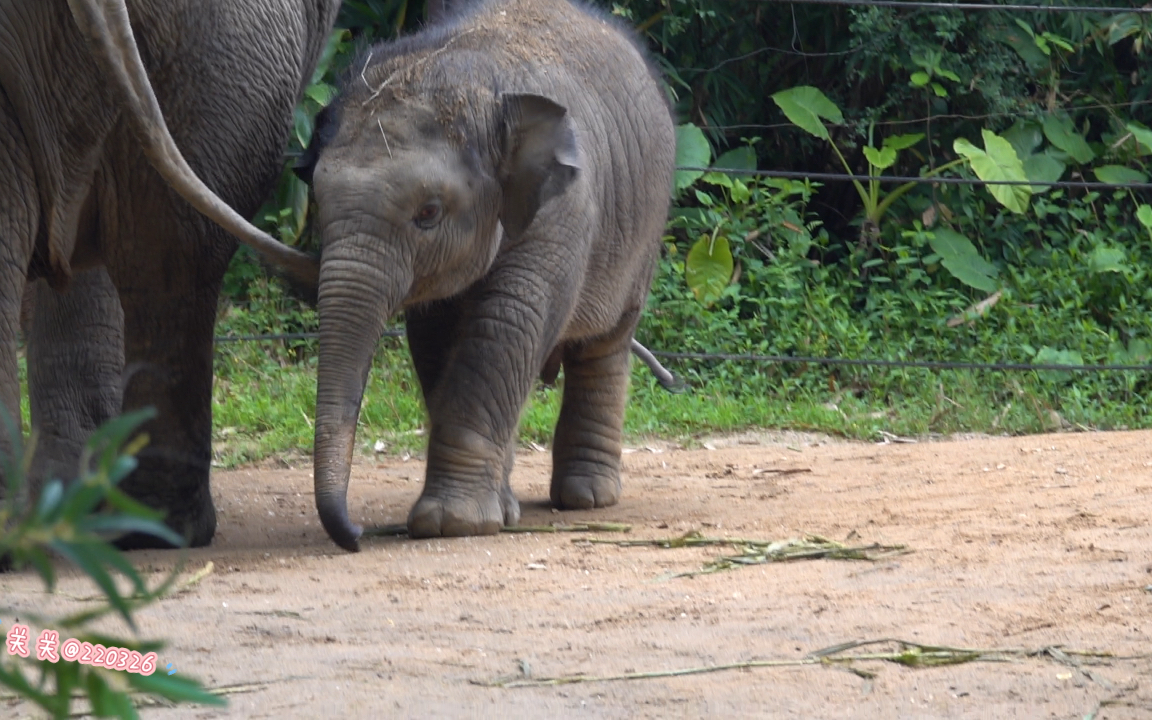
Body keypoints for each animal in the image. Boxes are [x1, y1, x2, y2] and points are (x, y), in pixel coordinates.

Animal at [301, 0, 677, 548]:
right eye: (316, 201)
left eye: (428, 212)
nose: (356, 533)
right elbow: (436, 339)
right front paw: (492, 513)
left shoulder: (563, 209)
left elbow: (506, 322)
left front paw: (452, 524)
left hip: (645, 226)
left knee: (605, 344)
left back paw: (587, 499)